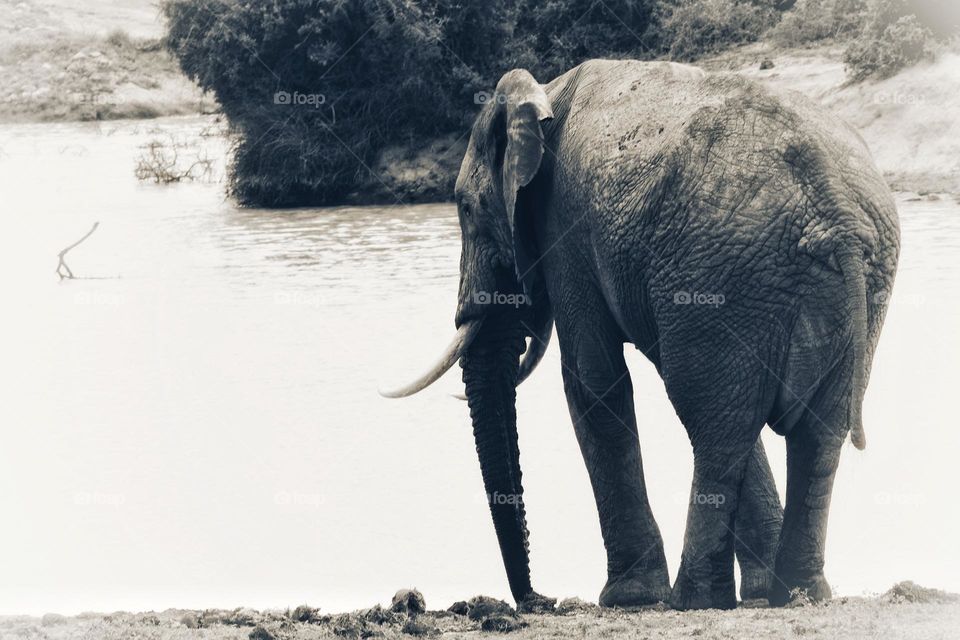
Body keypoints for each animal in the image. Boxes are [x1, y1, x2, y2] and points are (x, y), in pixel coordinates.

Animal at [380, 58, 900, 608]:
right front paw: (749, 590)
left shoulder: (565, 228)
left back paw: (693, 600)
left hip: (720, 275)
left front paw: (628, 597)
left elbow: (591, 381)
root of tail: (837, 215)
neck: (543, 95)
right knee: (807, 431)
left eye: (464, 208)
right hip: (838, 287)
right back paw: (794, 594)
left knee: (715, 423)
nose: (538, 600)